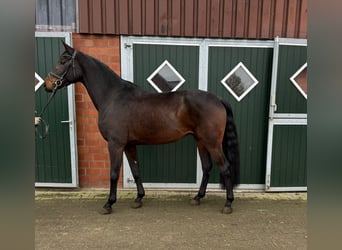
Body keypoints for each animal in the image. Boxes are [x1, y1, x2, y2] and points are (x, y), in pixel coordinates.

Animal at [45, 42, 240, 214]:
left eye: (63, 60)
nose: (48, 84)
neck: (113, 96)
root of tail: (218, 99)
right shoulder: (129, 145)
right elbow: (136, 170)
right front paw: (138, 199)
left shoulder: (115, 144)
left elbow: (114, 173)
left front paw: (109, 204)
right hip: (200, 140)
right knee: (207, 167)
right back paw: (197, 198)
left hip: (212, 142)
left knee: (225, 167)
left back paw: (228, 203)